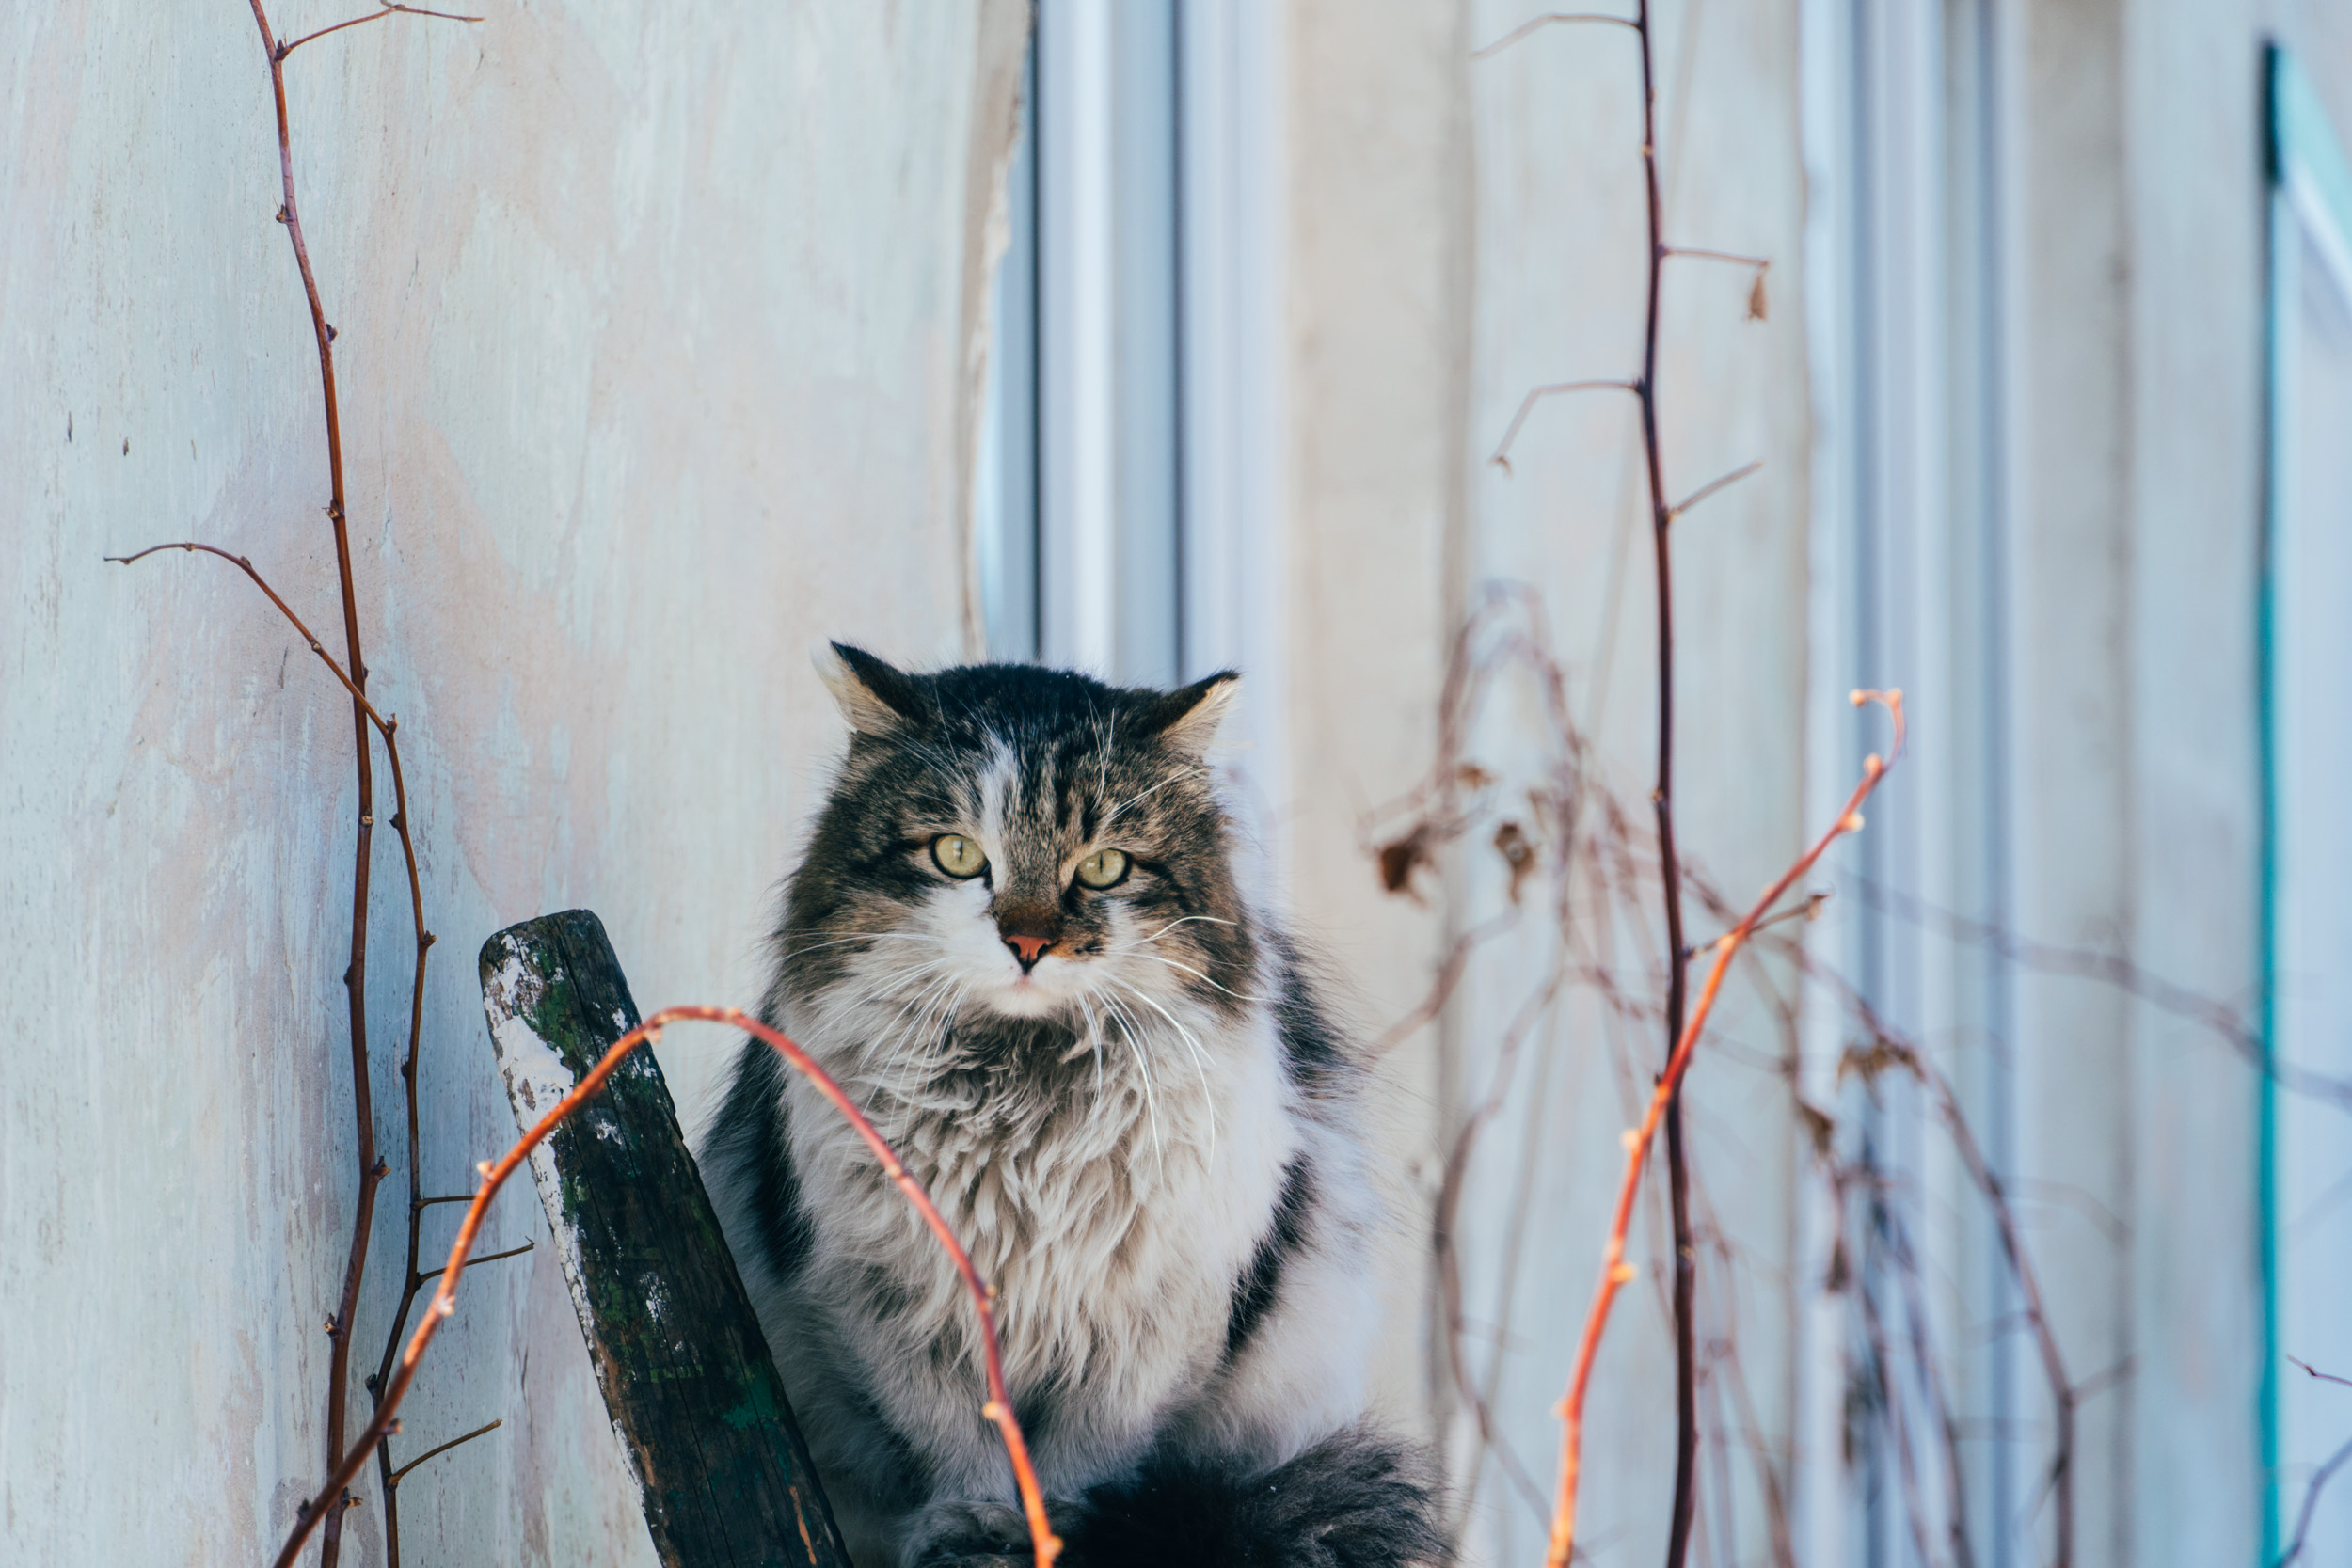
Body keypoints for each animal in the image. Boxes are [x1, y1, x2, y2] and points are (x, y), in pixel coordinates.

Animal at [701, 643, 1430, 1560]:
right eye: (955, 854)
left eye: (1104, 867)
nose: (1027, 942)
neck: (1023, 1102)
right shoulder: (890, 1301)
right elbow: (958, 1442)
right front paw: (975, 1523)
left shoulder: (1152, 1319)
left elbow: (1085, 1456)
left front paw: (1060, 1529)